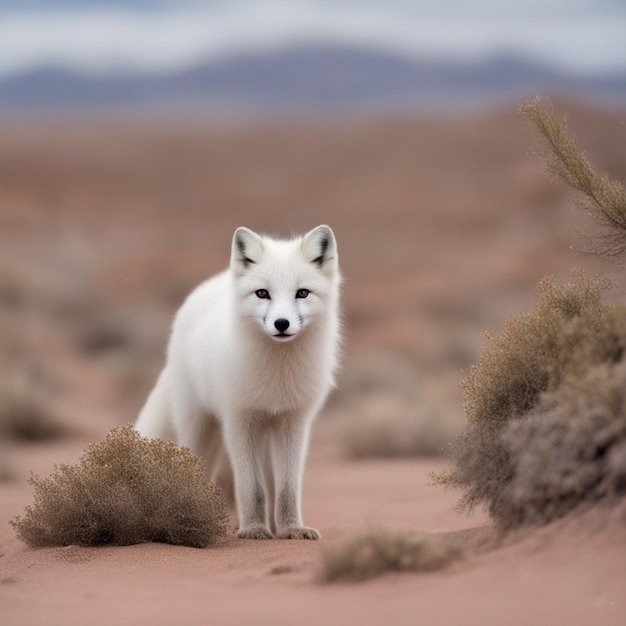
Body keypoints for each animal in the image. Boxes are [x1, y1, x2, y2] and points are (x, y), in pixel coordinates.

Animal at [135, 224, 342, 536]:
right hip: (198, 426)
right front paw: (254, 529)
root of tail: (211, 284)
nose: (282, 324)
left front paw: (291, 529)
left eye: (302, 293)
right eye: (262, 293)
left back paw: (274, 526)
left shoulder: (293, 422)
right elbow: (251, 488)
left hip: (265, 435)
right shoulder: (240, 420)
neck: (277, 375)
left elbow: (287, 488)